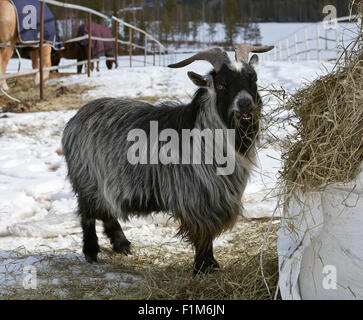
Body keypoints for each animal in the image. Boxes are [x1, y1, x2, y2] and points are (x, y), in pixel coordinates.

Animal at [61, 43, 272, 274]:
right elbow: (203, 234)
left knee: (106, 211)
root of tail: (77, 117)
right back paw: (91, 251)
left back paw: (122, 244)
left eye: (253, 79)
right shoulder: (196, 199)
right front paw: (203, 268)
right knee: (88, 213)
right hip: (87, 179)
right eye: (222, 85)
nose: (245, 104)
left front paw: (210, 266)